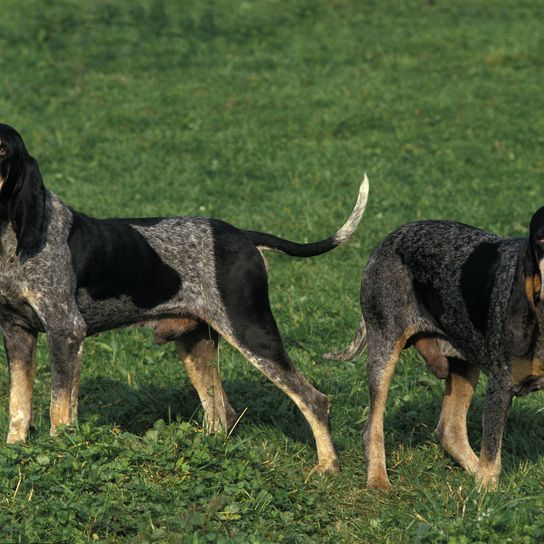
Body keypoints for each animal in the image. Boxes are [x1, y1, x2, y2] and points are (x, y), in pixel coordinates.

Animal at [0, 124, 368, 476]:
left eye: (3, 149)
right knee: (222, 412)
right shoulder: (17, 334)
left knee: (314, 400)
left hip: (252, 333)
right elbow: (18, 405)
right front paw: (16, 451)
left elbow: (59, 410)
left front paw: (58, 454)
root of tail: (244, 236)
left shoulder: (66, 332)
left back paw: (327, 465)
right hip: (195, 344)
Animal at [328, 201, 544, 488]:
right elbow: (491, 456)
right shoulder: (500, 387)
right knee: (372, 429)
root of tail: (389, 239)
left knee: (449, 432)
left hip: (464, 364)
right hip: (384, 353)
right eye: (541, 240)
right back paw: (379, 481)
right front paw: (486, 495)